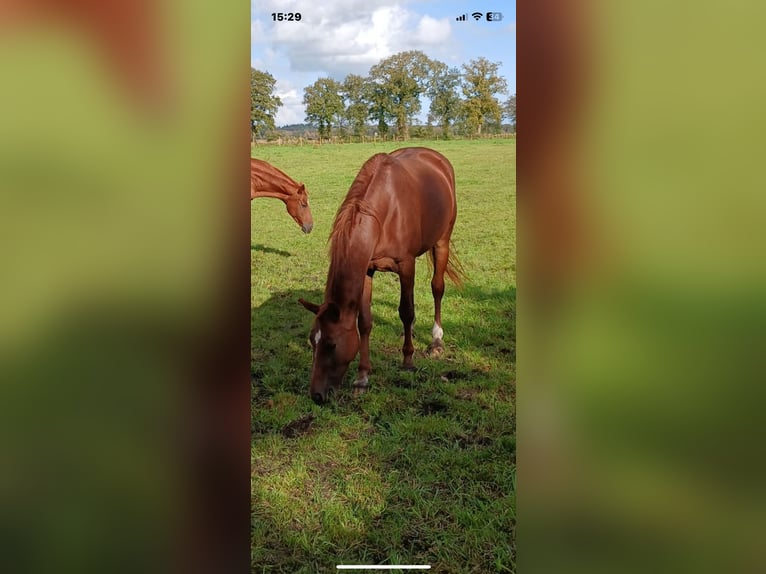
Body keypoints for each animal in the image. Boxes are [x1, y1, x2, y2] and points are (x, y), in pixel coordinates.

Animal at [298, 150, 462, 410]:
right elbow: (364, 322)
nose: (317, 396)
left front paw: (408, 360)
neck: (385, 210)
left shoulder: (406, 265)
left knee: (437, 288)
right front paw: (362, 378)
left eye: (332, 344)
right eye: (311, 342)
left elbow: (406, 311)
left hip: (442, 242)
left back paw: (436, 341)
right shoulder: (367, 269)